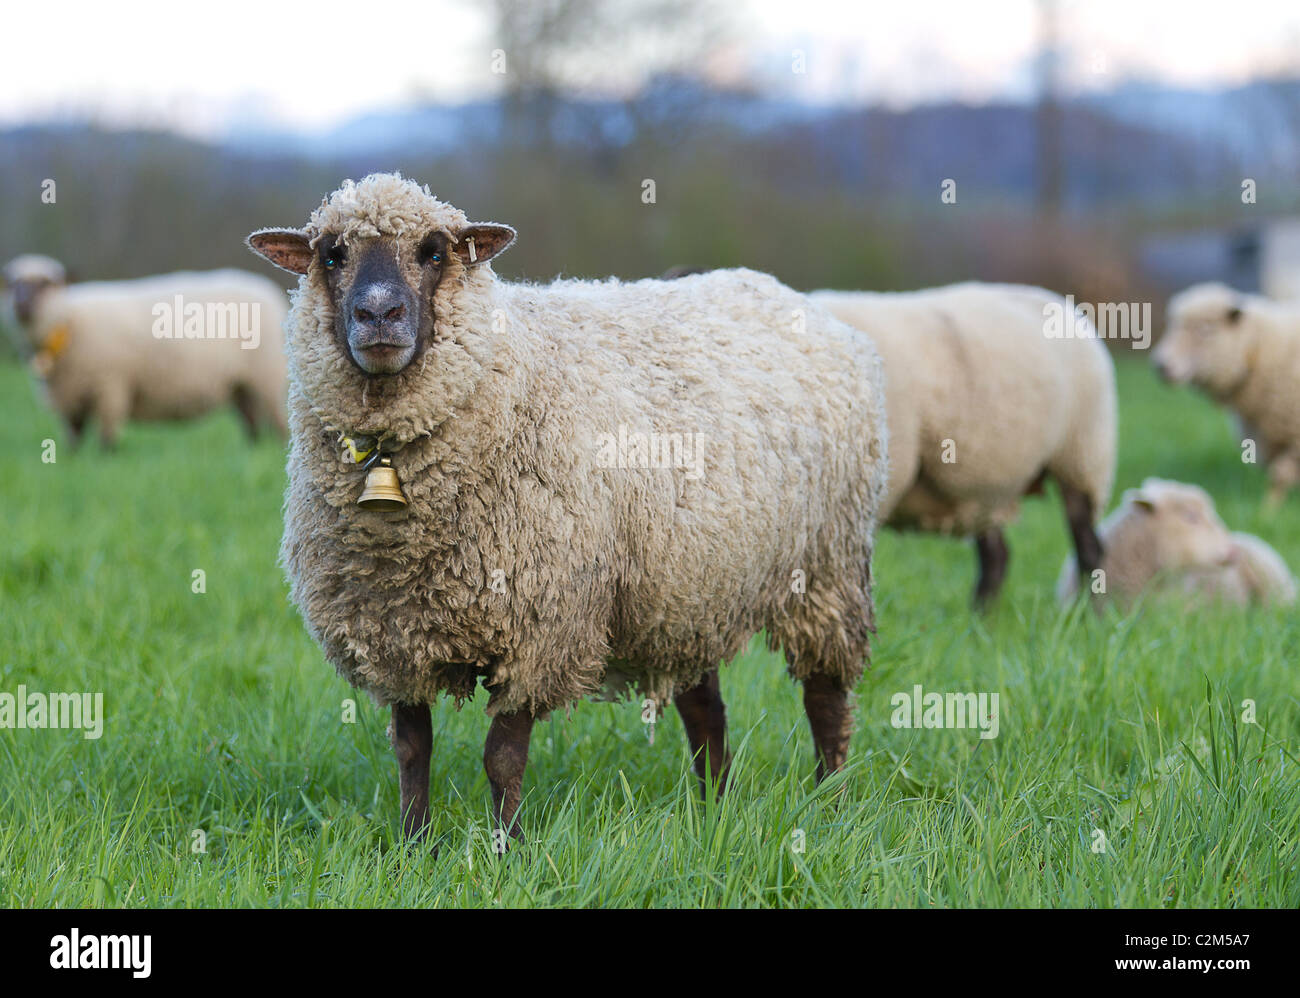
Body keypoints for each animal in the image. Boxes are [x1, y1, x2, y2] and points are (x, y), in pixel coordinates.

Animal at [23, 268, 289, 447]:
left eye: (45, 284)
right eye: (15, 283)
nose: (22, 304)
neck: (69, 321)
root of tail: (268, 289)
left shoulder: (110, 385)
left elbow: (106, 437)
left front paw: (105, 457)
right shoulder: (70, 397)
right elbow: (74, 438)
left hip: (268, 377)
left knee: (278, 424)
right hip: (242, 385)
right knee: (251, 421)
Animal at [248, 171, 889, 842]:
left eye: (434, 252)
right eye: (331, 254)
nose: (378, 314)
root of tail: (775, 288)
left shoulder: (541, 625)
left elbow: (502, 756)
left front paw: (507, 846)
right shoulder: (393, 630)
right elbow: (411, 748)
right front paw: (414, 845)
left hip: (827, 568)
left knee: (826, 697)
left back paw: (831, 799)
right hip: (689, 584)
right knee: (705, 706)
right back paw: (714, 808)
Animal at [806, 283, 1112, 608]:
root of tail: (1055, 300)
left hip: (1082, 455)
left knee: (1088, 547)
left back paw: (1091, 613)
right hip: (986, 483)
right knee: (997, 555)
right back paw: (982, 617)